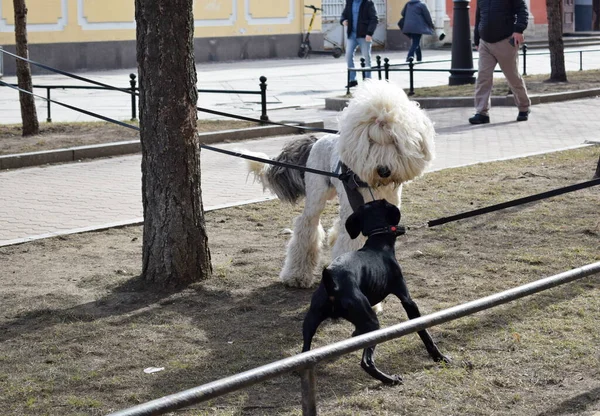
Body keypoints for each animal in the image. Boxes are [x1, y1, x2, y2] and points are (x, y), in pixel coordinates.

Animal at [246, 81, 434, 290]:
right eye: (370, 141)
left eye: (394, 140)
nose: (383, 170)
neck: (374, 185)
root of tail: (317, 141)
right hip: (316, 195)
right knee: (307, 225)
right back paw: (296, 275)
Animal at [302, 198, 448, 384]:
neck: (378, 244)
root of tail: (332, 285)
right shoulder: (407, 300)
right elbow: (424, 332)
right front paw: (439, 356)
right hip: (372, 322)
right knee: (367, 362)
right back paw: (390, 379)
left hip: (311, 320)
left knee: (305, 351)